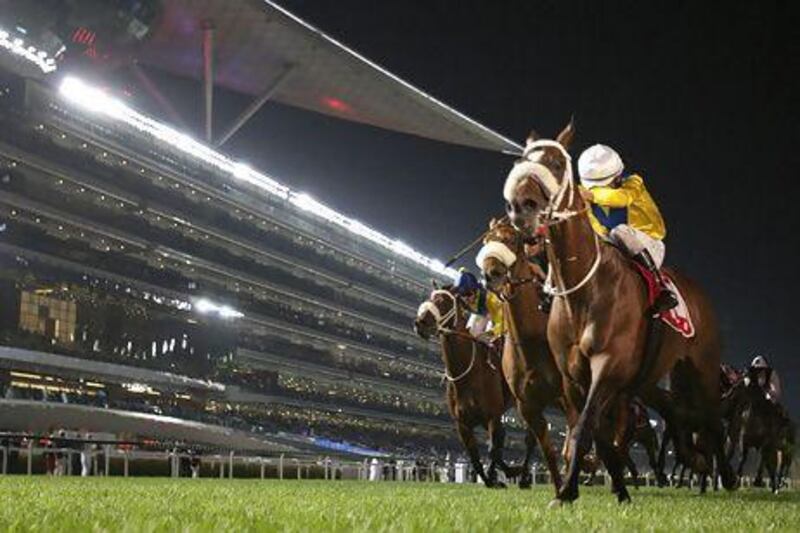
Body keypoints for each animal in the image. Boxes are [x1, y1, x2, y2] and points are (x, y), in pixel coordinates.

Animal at [418, 286, 524, 486]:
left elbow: (493, 450)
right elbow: (475, 457)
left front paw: (501, 476)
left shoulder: (492, 416)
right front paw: (493, 479)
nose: (420, 323)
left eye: (443, 301)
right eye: (430, 297)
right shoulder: (463, 424)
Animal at [504, 121, 736, 502]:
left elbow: (585, 426)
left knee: (712, 418)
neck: (583, 291)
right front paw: (607, 486)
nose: (520, 207)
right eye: (522, 161)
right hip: (650, 376)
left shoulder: (608, 363)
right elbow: (592, 429)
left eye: (556, 163)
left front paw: (568, 489)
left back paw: (728, 478)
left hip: (702, 366)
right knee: (674, 410)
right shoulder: (572, 375)